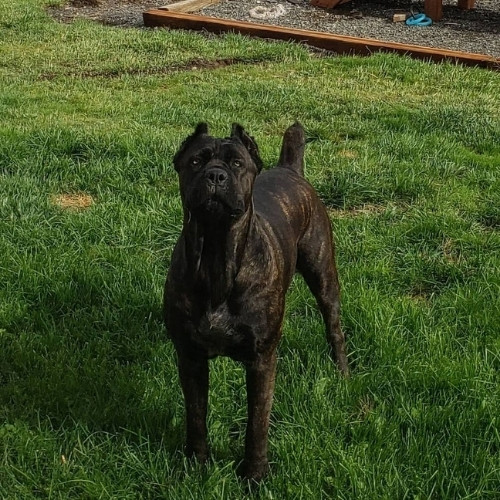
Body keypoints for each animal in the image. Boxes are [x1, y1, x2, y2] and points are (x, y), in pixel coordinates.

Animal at [164, 122, 348, 480]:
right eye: (196, 161)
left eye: (237, 164)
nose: (216, 175)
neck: (216, 256)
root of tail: (289, 169)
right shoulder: (191, 357)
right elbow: (196, 415)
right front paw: (197, 463)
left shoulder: (262, 361)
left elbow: (257, 424)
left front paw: (255, 474)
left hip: (323, 275)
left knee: (334, 327)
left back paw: (343, 373)